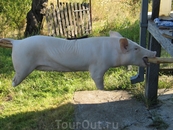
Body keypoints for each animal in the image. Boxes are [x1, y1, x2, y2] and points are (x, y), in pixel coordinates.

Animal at [0, 33, 156, 89]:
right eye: (136, 48)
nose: (153, 52)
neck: (110, 50)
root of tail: (16, 42)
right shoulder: (97, 67)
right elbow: (97, 79)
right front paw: (103, 91)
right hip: (23, 66)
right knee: (14, 80)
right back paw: (13, 87)